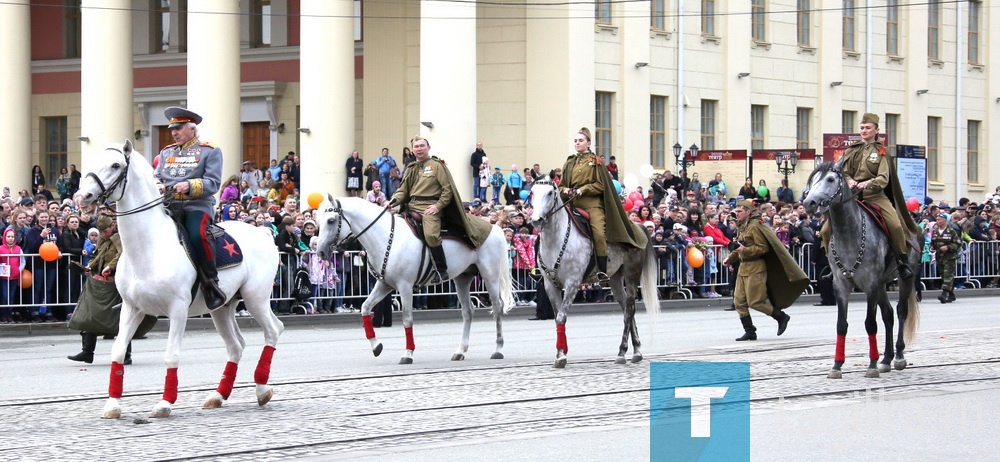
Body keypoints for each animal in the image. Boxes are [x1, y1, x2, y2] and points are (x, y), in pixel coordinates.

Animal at [75, 141, 282, 418]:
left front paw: (164, 403)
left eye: (115, 165)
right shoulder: (131, 308)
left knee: (272, 331)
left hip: (255, 298)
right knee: (236, 346)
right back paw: (218, 395)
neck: (148, 246)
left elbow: (171, 355)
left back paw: (261, 389)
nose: (82, 197)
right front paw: (112, 405)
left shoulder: (177, 310)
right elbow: (118, 351)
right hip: (222, 308)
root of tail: (263, 232)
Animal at [314, 193, 516, 362]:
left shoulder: (405, 286)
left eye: (331, 220)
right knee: (468, 311)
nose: (320, 252)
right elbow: (365, 308)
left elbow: (407, 318)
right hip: (462, 278)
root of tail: (494, 227)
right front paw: (376, 346)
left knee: (497, 308)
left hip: (490, 276)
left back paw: (498, 349)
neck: (386, 237)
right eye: (318, 220)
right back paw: (460, 351)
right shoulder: (384, 285)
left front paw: (408, 353)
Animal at [528, 178, 660, 368]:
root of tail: (638, 227)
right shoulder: (549, 285)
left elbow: (561, 317)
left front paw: (561, 356)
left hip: (631, 275)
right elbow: (557, 317)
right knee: (627, 308)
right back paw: (636, 351)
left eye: (550, 193)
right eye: (532, 192)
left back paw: (622, 352)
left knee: (629, 308)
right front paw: (561, 353)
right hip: (615, 278)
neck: (556, 240)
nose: (536, 220)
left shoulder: (572, 284)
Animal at [804, 162, 920, 378]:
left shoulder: (870, 284)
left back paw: (899, 357)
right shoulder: (841, 284)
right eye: (813, 180)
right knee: (888, 315)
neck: (849, 232)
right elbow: (841, 325)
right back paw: (886, 359)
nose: (809, 203)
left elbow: (870, 323)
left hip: (905, 278)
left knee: (901, 311)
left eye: (830, 179)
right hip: (882, 284)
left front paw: (872, 365)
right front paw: (837, 365)